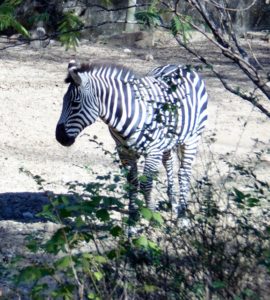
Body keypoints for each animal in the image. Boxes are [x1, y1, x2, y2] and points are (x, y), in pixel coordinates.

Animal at [55, 61, 209, 219]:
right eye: (63, 101)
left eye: (75, 103)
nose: (59, 137)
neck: (129, 112)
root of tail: (178, 65)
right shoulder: (124, 151)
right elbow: (132, 182)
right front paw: (133, 217)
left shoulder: (153, 151)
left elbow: (146, 184)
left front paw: (152, 215)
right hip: (168, 141)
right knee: (169, 163)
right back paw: (172, 201)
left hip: (191, 138)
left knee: (184, 172)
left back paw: (182, 215)